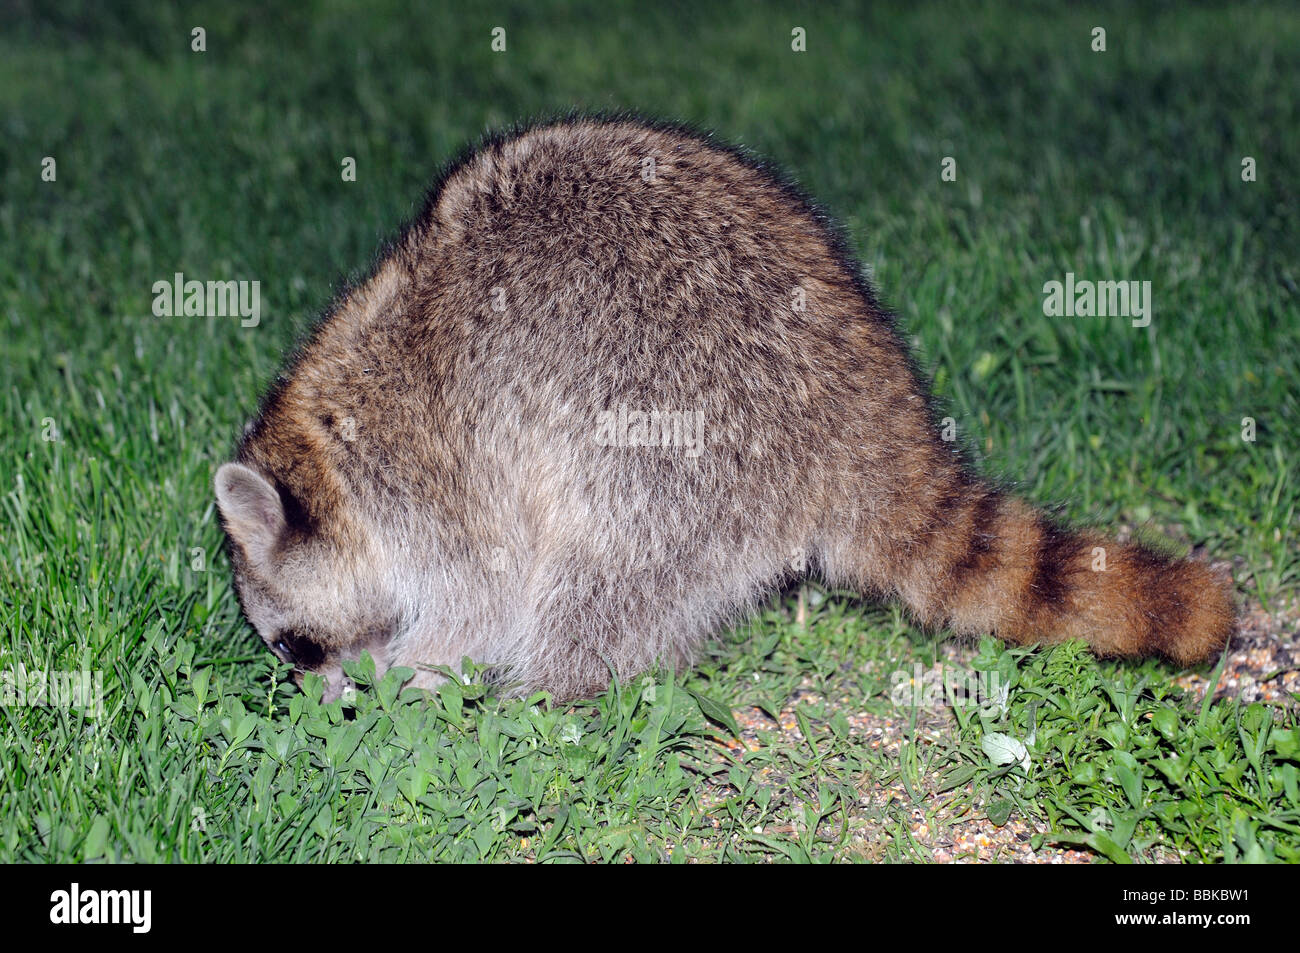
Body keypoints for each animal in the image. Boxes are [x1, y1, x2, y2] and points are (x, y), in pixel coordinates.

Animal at [218, 117, 1232, 696]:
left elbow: (487, 592)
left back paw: (547, 689)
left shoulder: (433, 477)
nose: (314, 697)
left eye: (296, 646)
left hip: (690, 436)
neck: (329, 442)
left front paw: (412, 669)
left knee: (600, 571)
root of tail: (874, 416)